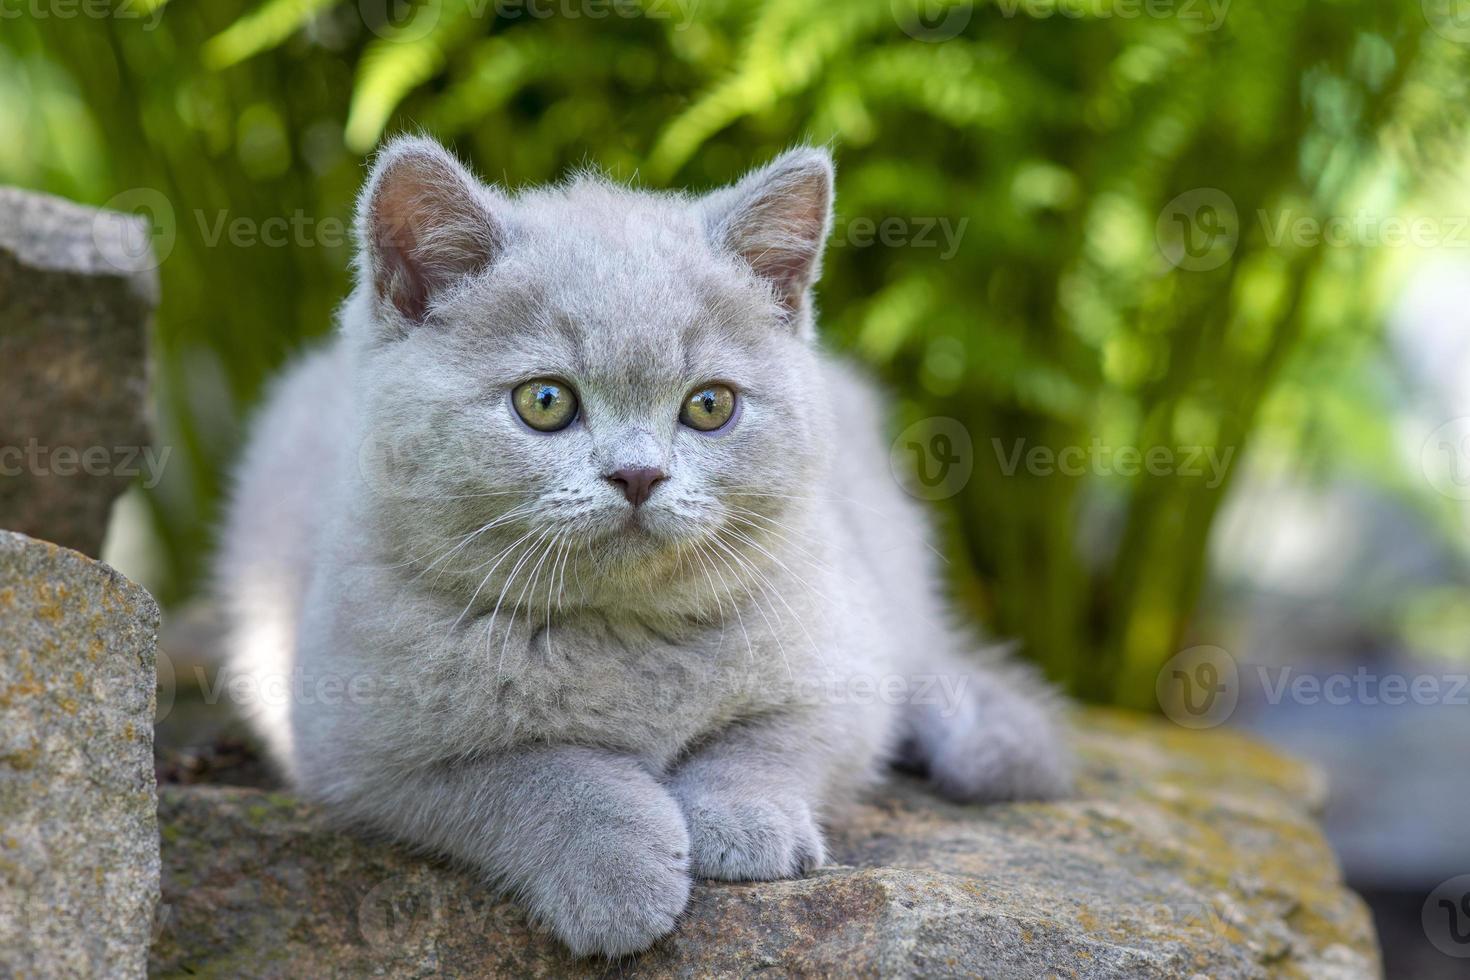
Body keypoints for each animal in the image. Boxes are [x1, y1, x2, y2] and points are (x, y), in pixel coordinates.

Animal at [214, 138, 1070, 957]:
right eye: (545, 401)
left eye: (711, 405)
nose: (638, 473)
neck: (624, 632)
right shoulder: (361, 751)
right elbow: (532, 773)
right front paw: (616, 873)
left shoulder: (838, 662)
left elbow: (774, 738)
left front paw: (745, 824)